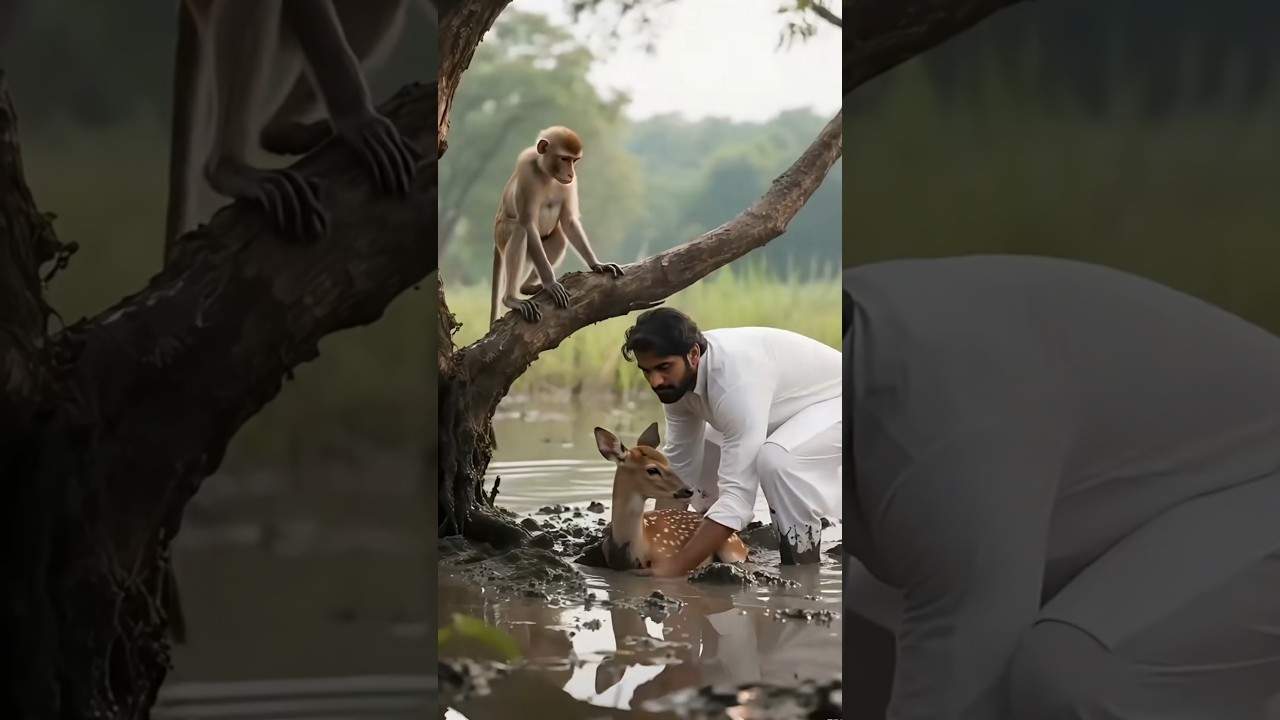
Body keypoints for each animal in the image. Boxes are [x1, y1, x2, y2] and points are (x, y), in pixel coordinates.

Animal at [490, 126, 624, 325]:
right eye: (564, 159)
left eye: (574, 160)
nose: (570, 173)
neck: (546, 173)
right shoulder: (527, 173)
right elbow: (527, 224)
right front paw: (551, 283)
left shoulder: (570, 184)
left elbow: (568, 222)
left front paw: (597, 264)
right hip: (501, 233)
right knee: (520, 231)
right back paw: (511, 299)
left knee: (559, 237)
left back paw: (526, 286)